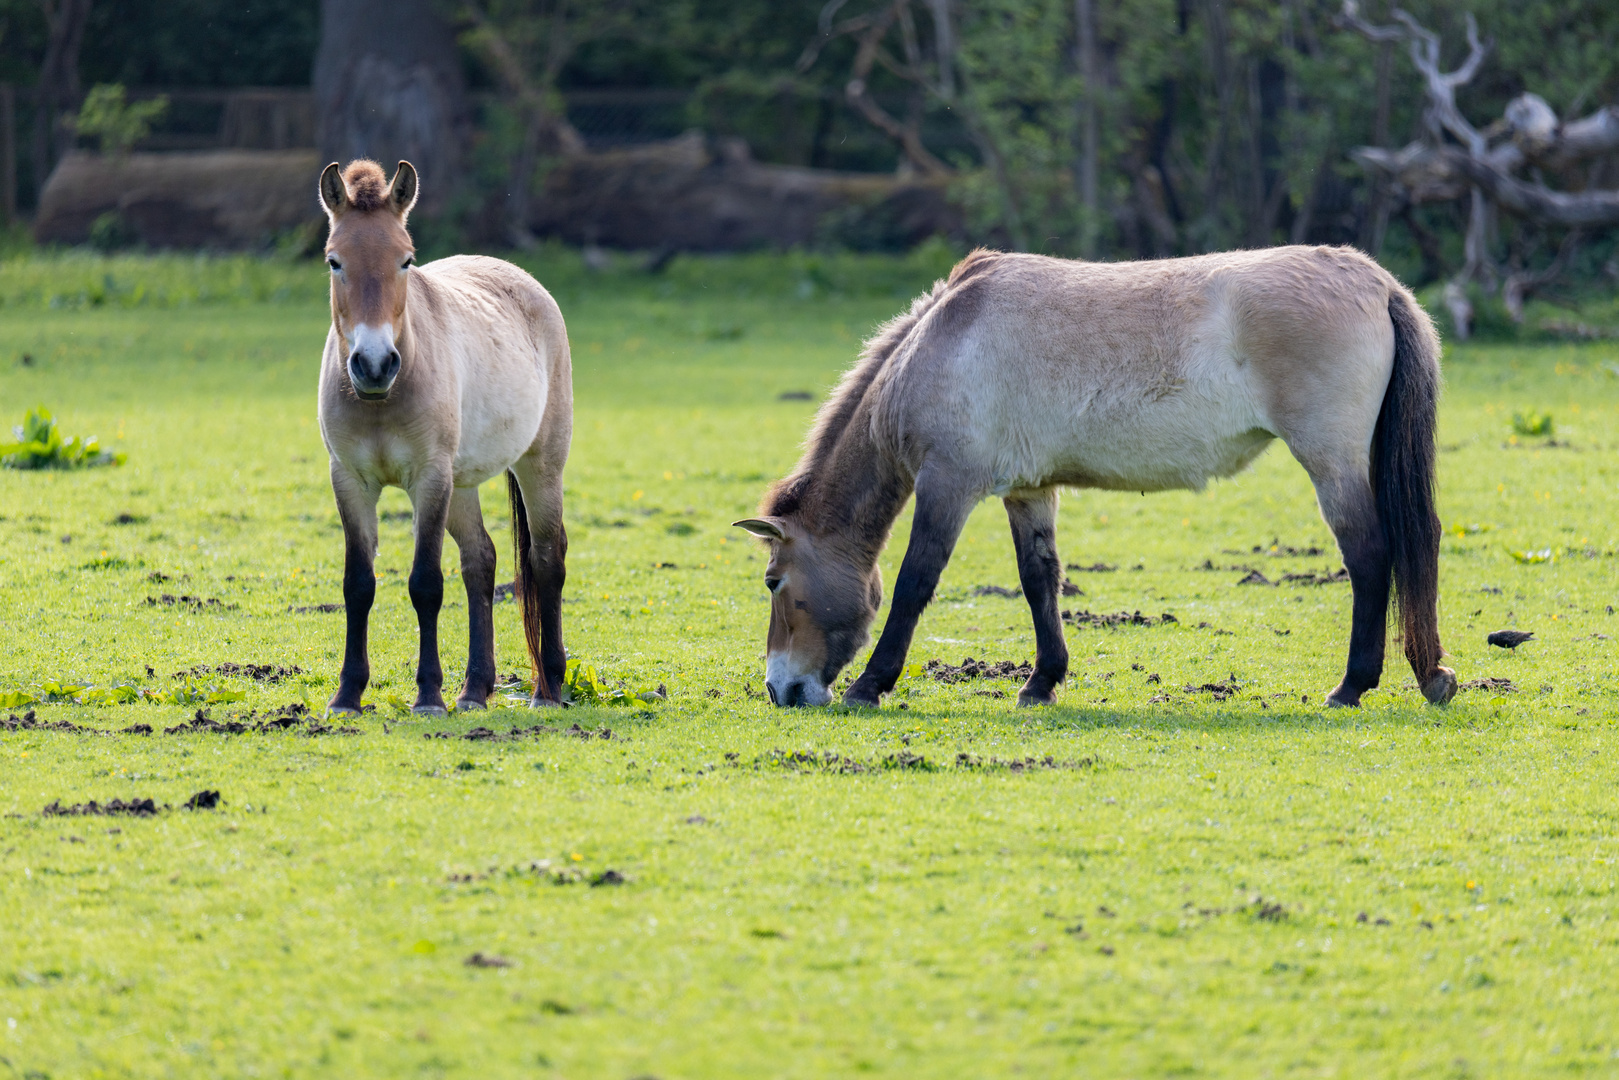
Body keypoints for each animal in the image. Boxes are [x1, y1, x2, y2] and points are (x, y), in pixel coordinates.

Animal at [317, 160, 576, 718]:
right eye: (334, 262)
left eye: (406, 261)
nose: (374, 364)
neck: (382, 398)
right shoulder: (349, 481)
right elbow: (358, 584)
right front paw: (348, 695)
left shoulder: (429, 479)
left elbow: (425, 584)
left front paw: (428, 695)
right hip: (463, 484)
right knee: (481, 561)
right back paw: (475, 689)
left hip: (540, 464)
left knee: (547, 560)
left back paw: (547, 687)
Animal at [741, 244, 1463, 709]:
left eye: (774, 581)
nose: (781, 689)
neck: (940, 343)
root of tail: (1375, 283)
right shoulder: (1027, 492)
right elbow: (1039, 580)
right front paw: (1040, 683)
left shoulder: (947, 484)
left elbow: (916, 582)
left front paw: (870, 685)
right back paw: (1428, 677)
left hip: (1330, 462)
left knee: (1369, 556)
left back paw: (1351, 686)